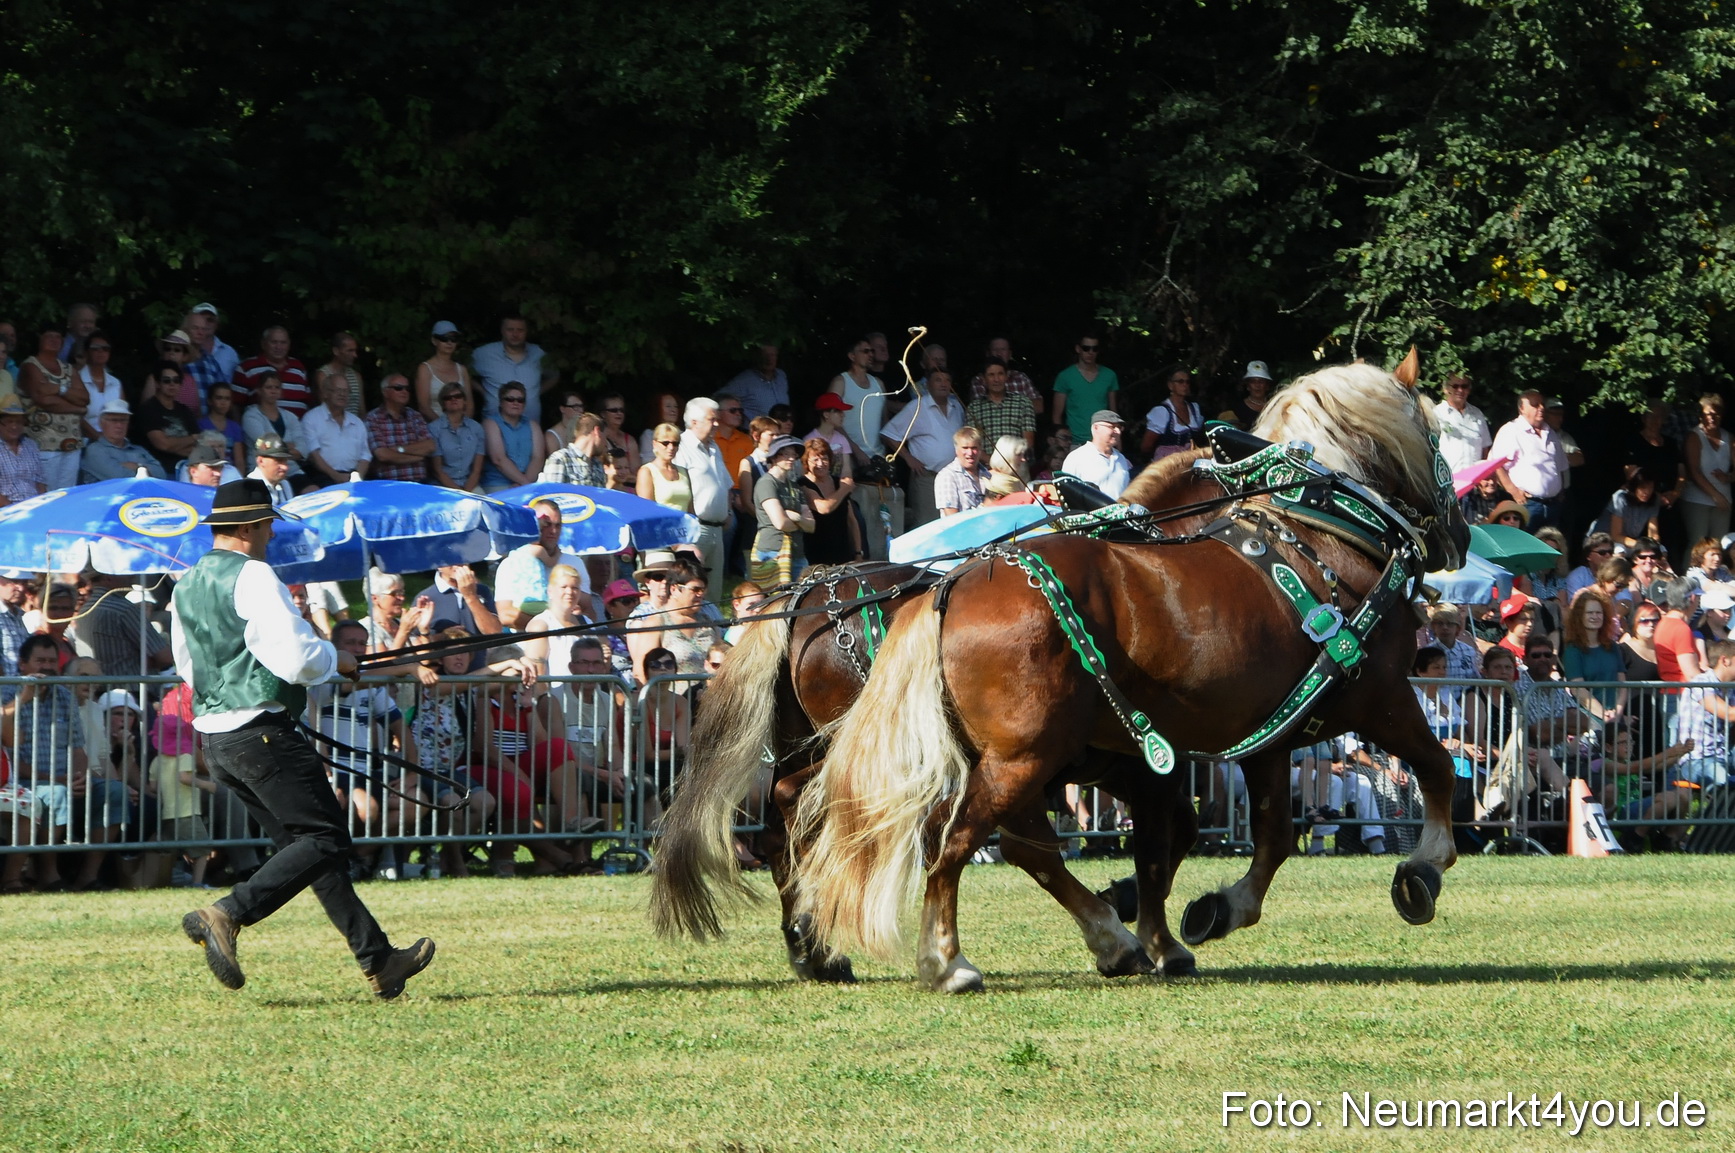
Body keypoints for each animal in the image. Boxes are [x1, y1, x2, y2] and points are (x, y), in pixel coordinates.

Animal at [787, 356, 1470, 991]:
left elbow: (1265, 835)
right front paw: (1423, 871)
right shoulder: (1379, 697)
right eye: (1439, 437)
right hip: (1024, 757)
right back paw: (949, 959)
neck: (1322, 533)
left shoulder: (1267, 735)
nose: (1460, 536)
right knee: (960, 839)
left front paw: (1215, 910)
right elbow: (1436, 767)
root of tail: (948, 586)